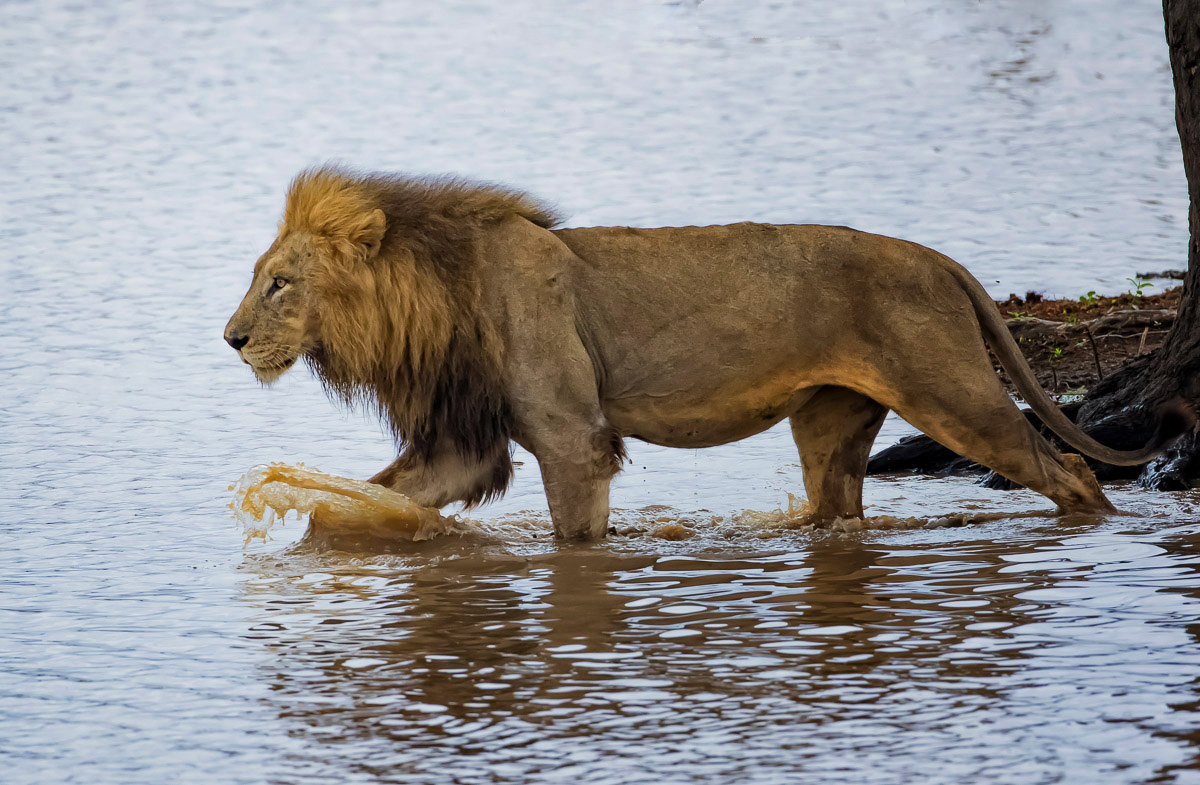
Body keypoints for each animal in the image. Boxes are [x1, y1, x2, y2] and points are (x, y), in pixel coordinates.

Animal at [224, 166, 1188, 540]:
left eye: (278, 283)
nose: (229, 339)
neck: (434, 299)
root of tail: (940, 259)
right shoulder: (465, 440)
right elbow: (372, 497)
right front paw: (318, 522)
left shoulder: (574, 437)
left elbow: (578, 534)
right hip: (831, 422)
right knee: (838, 507)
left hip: (956, 394)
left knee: (1069, 469)